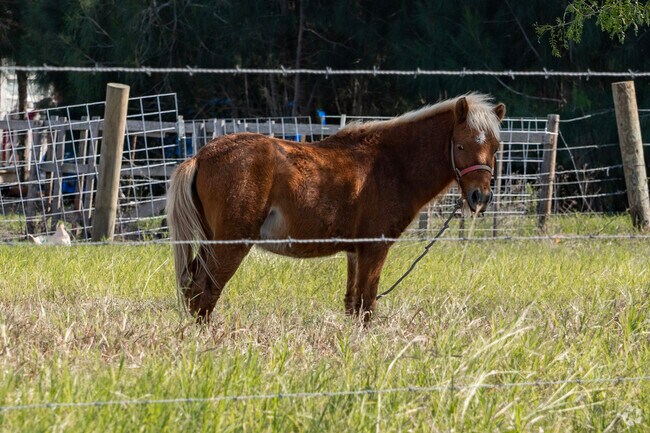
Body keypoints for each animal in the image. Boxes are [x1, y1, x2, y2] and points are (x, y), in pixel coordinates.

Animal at [167, 93, 506, 323]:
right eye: (460, 145)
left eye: (495, 147)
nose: (480, 197)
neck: (390, 162)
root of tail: (201, 156)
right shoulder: (374, 248)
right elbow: (366, 304)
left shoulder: (355, 252)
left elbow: (352, 304)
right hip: (230, 245)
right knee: (205, 292)